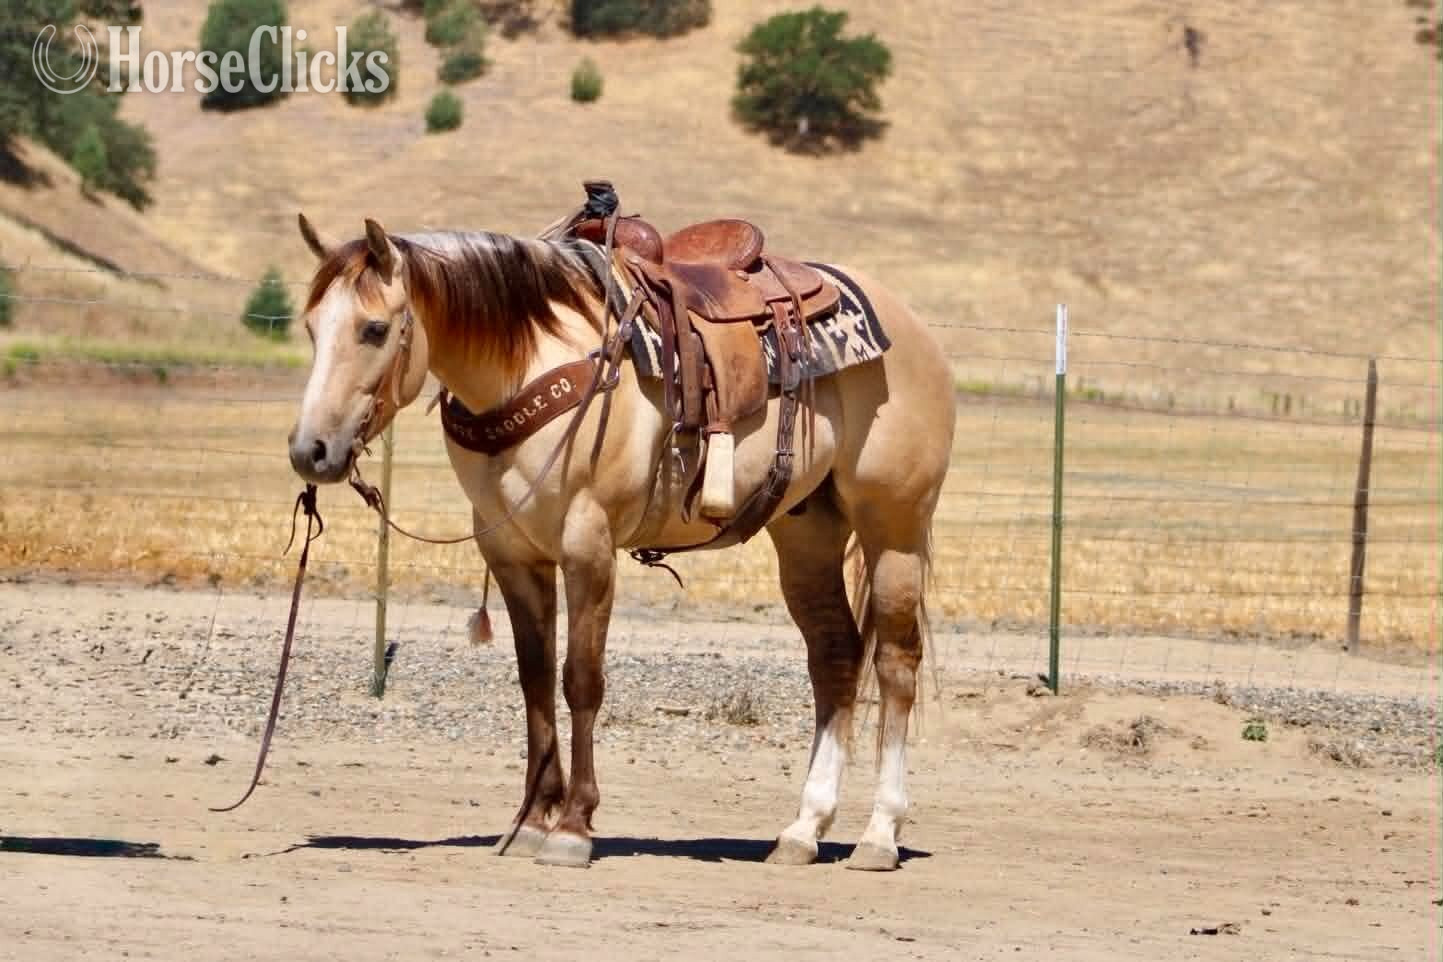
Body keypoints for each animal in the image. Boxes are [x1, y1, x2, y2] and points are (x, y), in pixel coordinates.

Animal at [286, 210, 956, 870]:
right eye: (313, 326)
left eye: (374, 328)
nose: (310, 451)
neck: (531, 363)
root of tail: (915, 331)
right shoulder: (513, 555)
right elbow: (534, 681)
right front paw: (531, 819)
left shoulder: (589, 544)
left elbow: (581, 678)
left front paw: (573, 827)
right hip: (807, 531)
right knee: (836, 655)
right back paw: (803, 829)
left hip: (891, 526)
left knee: (896, 665)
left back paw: (878, 835)